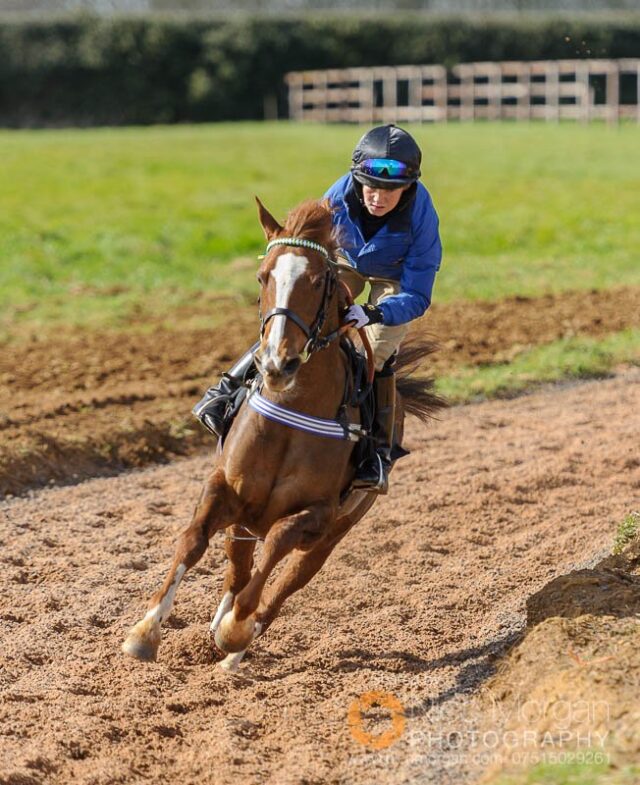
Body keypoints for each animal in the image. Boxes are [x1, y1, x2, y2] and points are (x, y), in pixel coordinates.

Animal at [122, 197, 445, 671]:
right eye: (263, 276)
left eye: (317, 280)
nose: (277, 362)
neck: (293, 407)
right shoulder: (225, 488)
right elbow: (192, 540)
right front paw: (144, 632)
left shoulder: (317, 514)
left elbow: (276, 548)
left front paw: (234, 630)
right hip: (243, 522)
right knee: (237, 570)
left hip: (334, 532)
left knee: (285, 583)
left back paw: (234, 648)